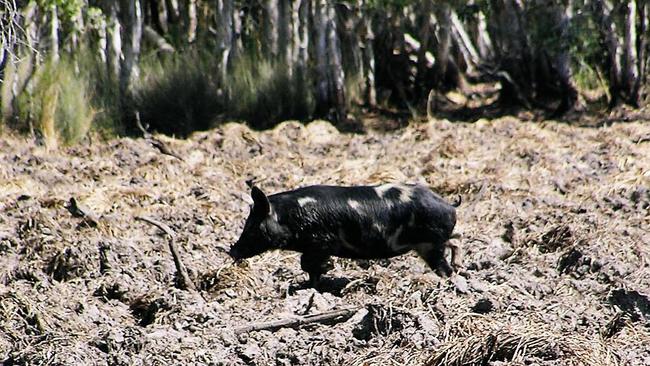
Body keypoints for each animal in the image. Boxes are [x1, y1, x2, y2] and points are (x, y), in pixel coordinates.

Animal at [229, 182, 460, 286]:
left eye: (252, 227)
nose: (232, 251)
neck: (291, 217)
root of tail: (449, 205)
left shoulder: (321, 243)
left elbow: (308, 264)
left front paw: (321, 275)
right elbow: (308, 267)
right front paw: (312, 284)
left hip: (431, 243)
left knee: (444, 266)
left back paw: (447, 280)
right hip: (431, 243)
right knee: (456, 242)